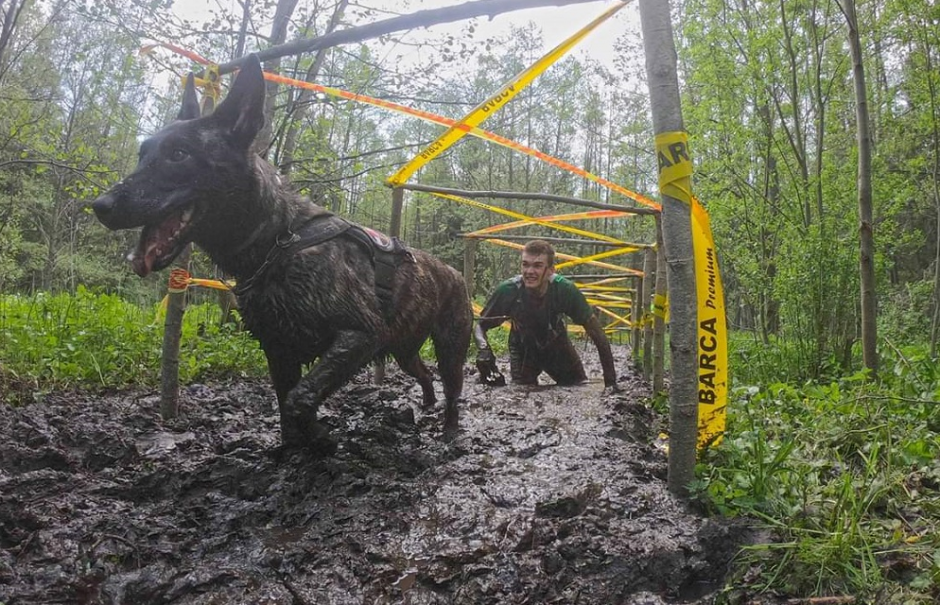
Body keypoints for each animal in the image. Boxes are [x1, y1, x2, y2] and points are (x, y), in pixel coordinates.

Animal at [92, 55, 474, 452]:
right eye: (143, 154)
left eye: (179, 154)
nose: (100, 206)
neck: (278, 240)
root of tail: (454, 273)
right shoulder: (278, 351)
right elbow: (285, 405)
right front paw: (295, 448)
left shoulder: (361, 335)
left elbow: (298, 400)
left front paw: (319, 438)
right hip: (404, 349)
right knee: (423, 372)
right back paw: (426, 403)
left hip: (450, 347)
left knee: (453, 389)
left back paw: (449, 429)